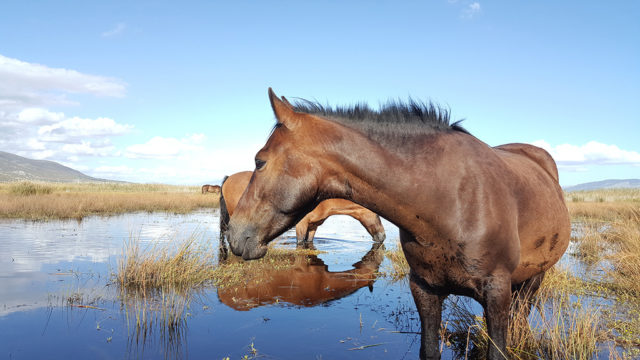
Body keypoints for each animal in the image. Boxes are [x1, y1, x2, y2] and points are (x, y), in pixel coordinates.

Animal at [219, 170, 384, 246]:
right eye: (378, 216)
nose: (382, 237)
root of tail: (228, 178)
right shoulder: (301, 225)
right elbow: (300, 243)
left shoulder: (313, 226)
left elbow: (308, 242)